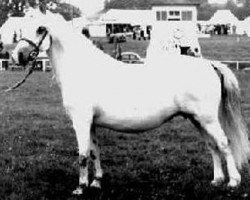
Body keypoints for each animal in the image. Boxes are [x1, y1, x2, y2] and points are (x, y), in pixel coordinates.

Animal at [11, 8, 250, 195]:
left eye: (40, 28)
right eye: (21, 28)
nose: (18, 57)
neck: (83, 69)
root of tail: (210, 64)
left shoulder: (81, 121)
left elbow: (82, 155)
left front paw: (80, 187)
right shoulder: (91, 123)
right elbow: (94, 151)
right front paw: (96, 182)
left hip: (207, 119)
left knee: (224, 143)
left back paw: (233, 182)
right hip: (196, 119)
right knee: (212, 146)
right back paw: (217, 180)